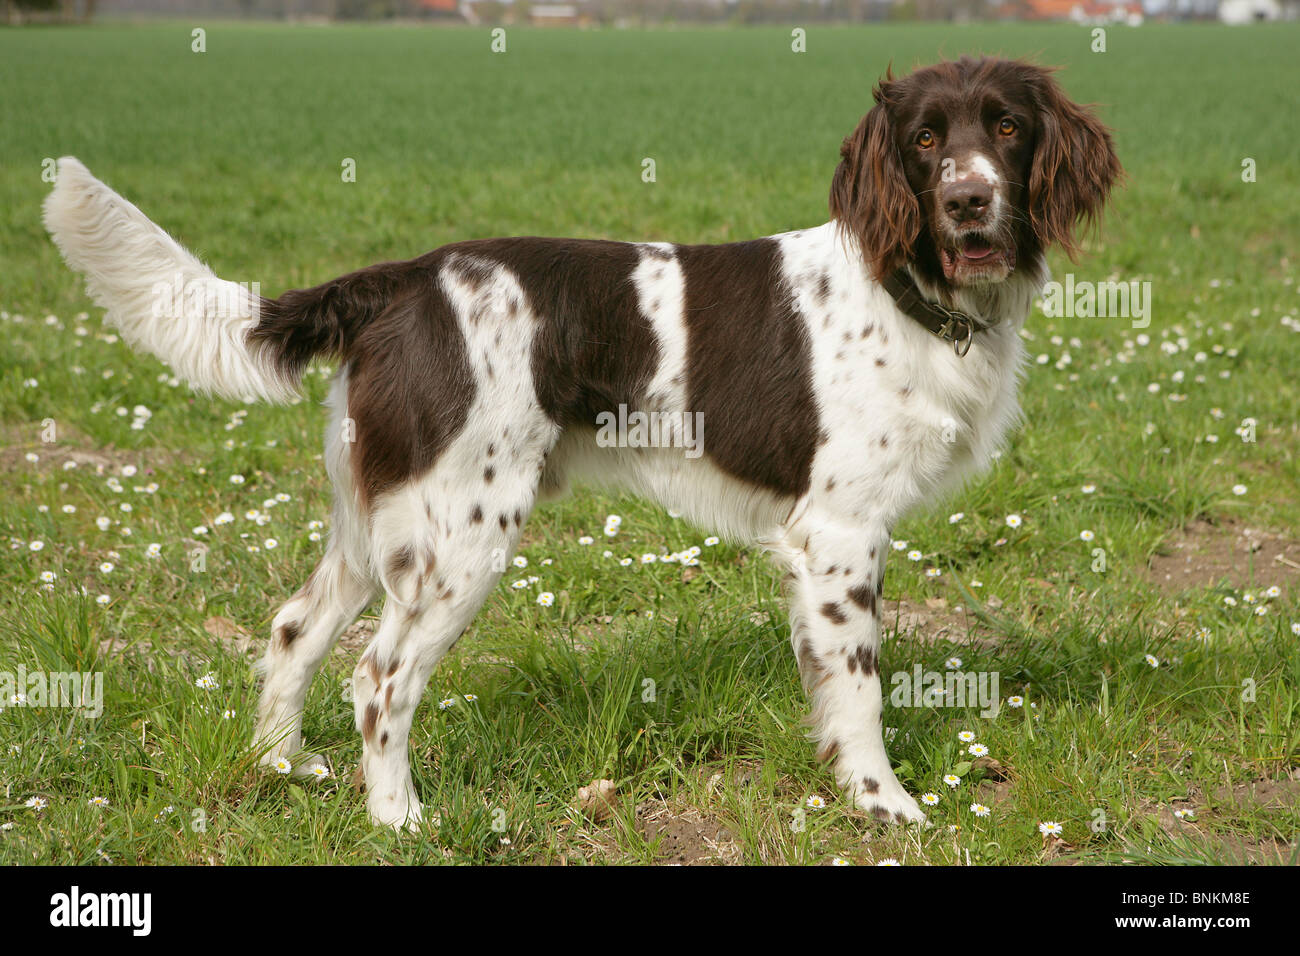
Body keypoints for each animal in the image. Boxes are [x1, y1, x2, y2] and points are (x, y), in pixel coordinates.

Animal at [40, 55, 1118, 827]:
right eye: (925, 140)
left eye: (1007, 127)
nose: (969, 201)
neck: (909, 289)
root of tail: (403, 280)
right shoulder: (840, 534)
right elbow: (857, 689)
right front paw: (884, 804)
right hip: (462, 534)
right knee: (378, 679)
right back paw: (399, 820)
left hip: (372, 520)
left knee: (296, 628)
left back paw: (281, 764)